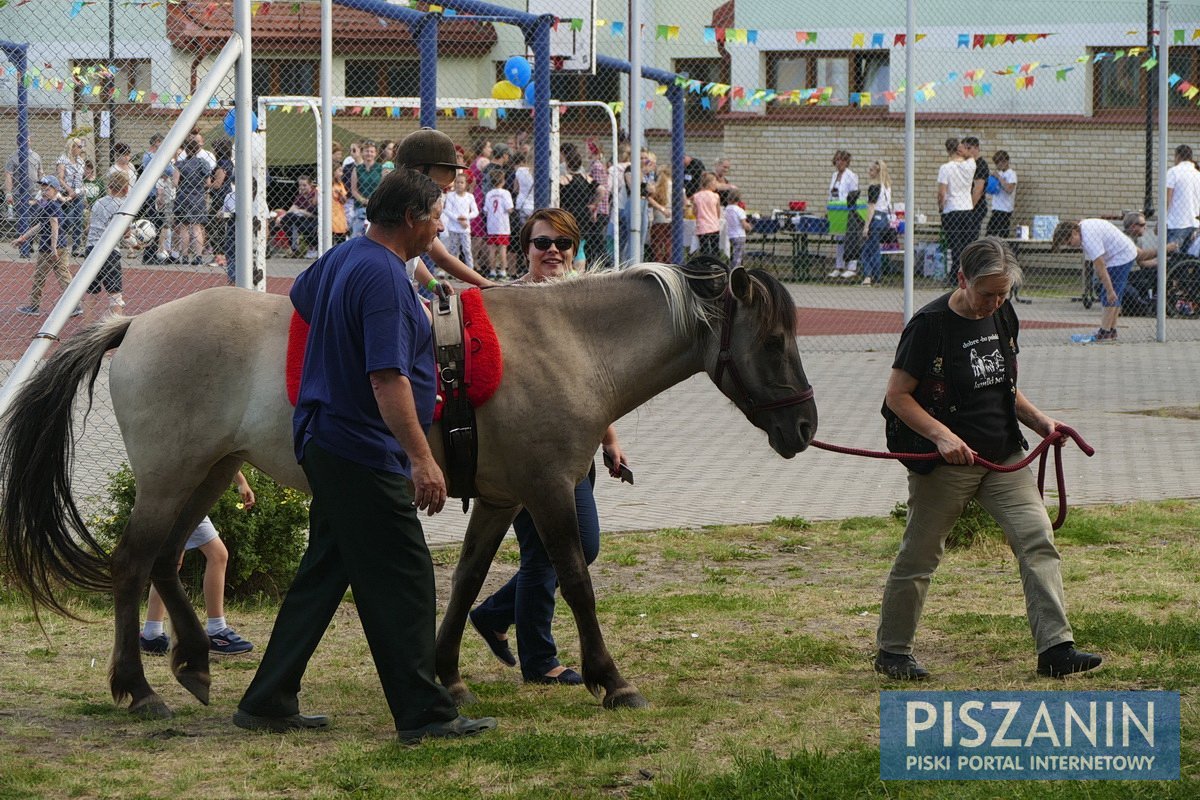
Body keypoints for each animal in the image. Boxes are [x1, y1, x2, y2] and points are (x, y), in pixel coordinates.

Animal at [0, 262, 816, 719]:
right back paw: (138, 688)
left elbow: (466, 582)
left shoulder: (499, 498)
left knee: (167, 564)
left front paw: (448, 674)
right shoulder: (549, 490)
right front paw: (610, 680)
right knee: (134, 566)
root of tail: (136, 325)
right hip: (174, 480)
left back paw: (194, 663)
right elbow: (577, 583)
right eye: (775, 341)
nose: (805, 426)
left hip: (208, 475)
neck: (564, 344)